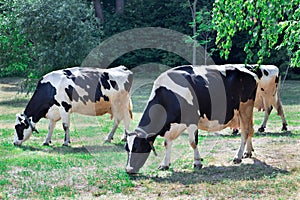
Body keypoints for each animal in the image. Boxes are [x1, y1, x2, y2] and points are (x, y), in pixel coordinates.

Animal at [124, 64, 258, 173]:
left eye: (138, 147)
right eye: (127, 149)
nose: (128, 170)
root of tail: (248, 70)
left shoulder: (192, 120)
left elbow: (193, 142)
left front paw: (197, 162)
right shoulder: (172, 125)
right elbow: (167, 143)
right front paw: (165, 164)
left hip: (245, 107)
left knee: (245, 131)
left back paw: (238, 157)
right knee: (250, 129)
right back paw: (248, 152)